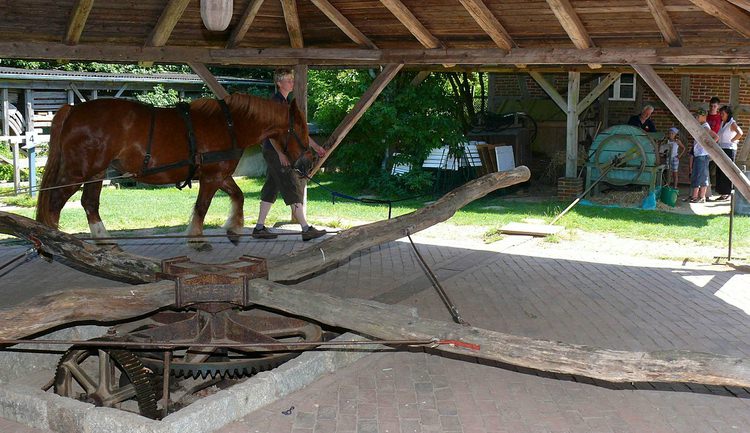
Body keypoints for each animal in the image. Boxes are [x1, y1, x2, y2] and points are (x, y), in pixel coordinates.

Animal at [34, 94, 312, 250]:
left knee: (89, 203)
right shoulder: (211, 178)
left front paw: (233, 230)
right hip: (77, 172)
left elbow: (238, 196)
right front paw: (197, 239)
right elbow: (202, 207)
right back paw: (55, 242)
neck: (230, 124)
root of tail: (73, 110)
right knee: (55, 202)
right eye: (301, 129)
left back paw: (104, 241)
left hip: (96, 172)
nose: (308, 162)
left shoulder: (219, 175)